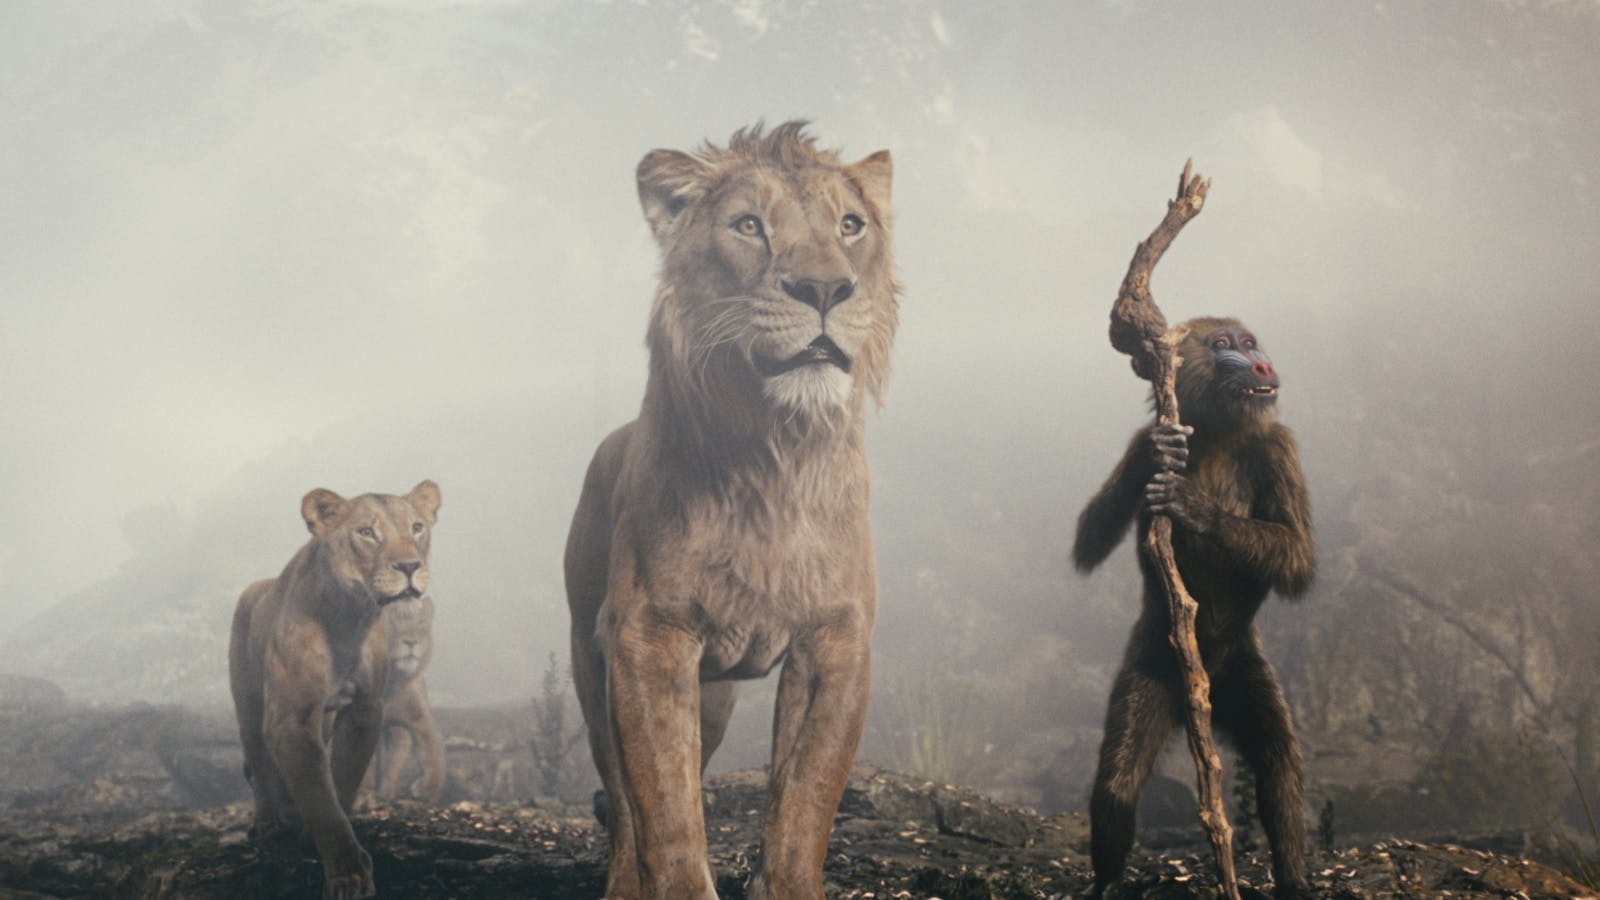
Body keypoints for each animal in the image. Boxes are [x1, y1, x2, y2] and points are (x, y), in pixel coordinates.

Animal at [370, 592, 445, 804]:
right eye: (392, 624)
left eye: (420, 624)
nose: (411, 642)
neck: (392, 682)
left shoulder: (416, 720)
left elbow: (433, 751)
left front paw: (428, 790)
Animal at [564, 121, 898, 900]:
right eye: (749, 226)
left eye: (851, 225)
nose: (824, 287)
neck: (775, 455)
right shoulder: (648, 636)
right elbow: (665, 809)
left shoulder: (837, 641)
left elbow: (805, 801)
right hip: (592, 659)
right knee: (622, 798)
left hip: (713, 695)